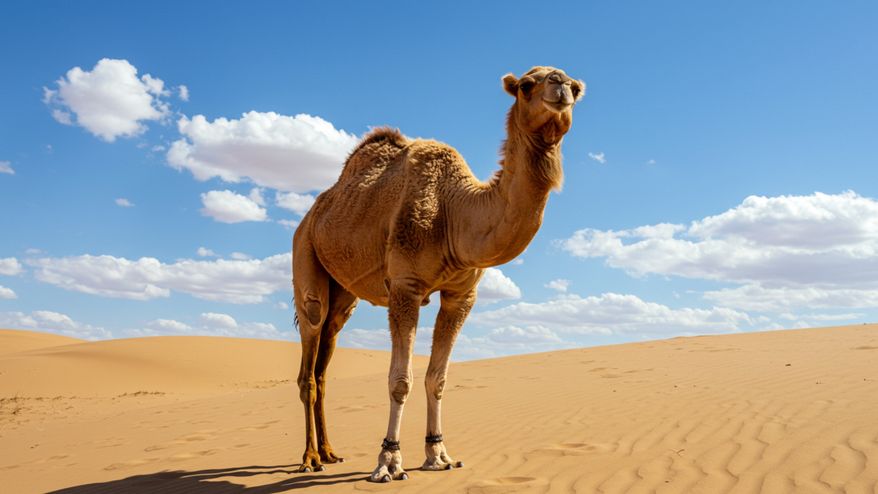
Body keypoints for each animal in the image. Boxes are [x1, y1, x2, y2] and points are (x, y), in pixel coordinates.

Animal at [291, 66, 584, 482]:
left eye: (576, 87)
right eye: (527, 85)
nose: (559, 84)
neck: (454, 213)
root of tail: (311, 215)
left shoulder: (461, 294)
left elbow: (438, 378)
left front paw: (439, 454)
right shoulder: (405, 287)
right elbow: (400, 380)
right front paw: (389, 461)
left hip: (343, 294)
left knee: (324, 361)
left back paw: (331, 453)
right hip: (305, 256)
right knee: (310, 352)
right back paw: (310, 458)